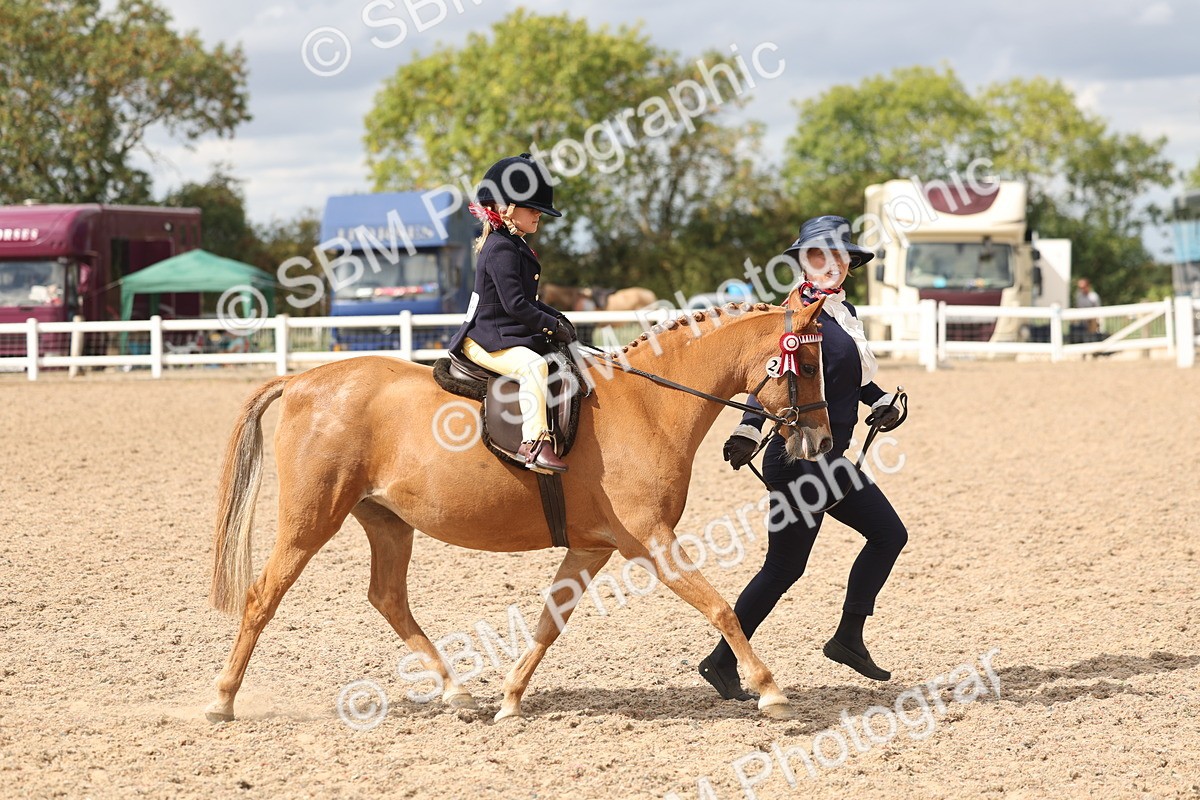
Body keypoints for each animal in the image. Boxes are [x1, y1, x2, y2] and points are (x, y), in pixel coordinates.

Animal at [205, 298, 832, 723]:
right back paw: (223, 699)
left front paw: (509, 699)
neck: (650, 404)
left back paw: (457, 691)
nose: (821, 441)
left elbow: (549, 622)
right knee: (263, 596)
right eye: (807, 367)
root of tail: (300, 379)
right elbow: (721, 607)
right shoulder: (650, 540)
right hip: (311, 521)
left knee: (387, 599)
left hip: (387, 522)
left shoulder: (592, 547)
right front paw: (771, 690)